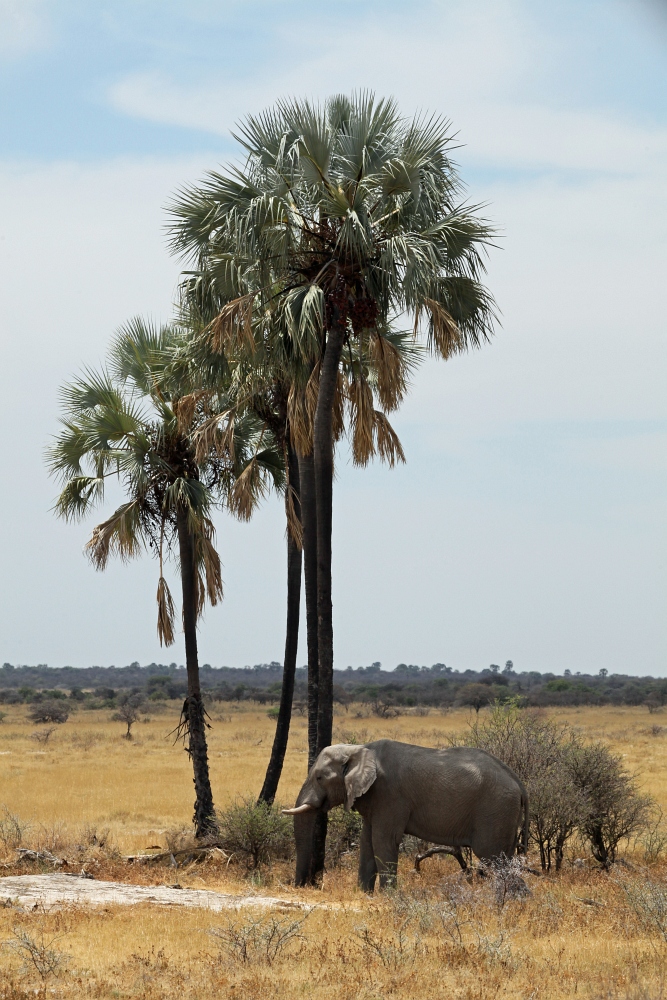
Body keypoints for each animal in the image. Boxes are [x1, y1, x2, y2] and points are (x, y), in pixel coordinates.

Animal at [284, 736, 528, 892]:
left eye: (319, 778)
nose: (300, 886)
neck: (359, 749)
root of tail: (518, 782)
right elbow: (367, 841)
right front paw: (363, 894)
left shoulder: (389, 795)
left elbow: (383, 840)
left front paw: (388, 897)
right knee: (505, 859)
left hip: (495, 809)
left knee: (493, 857)